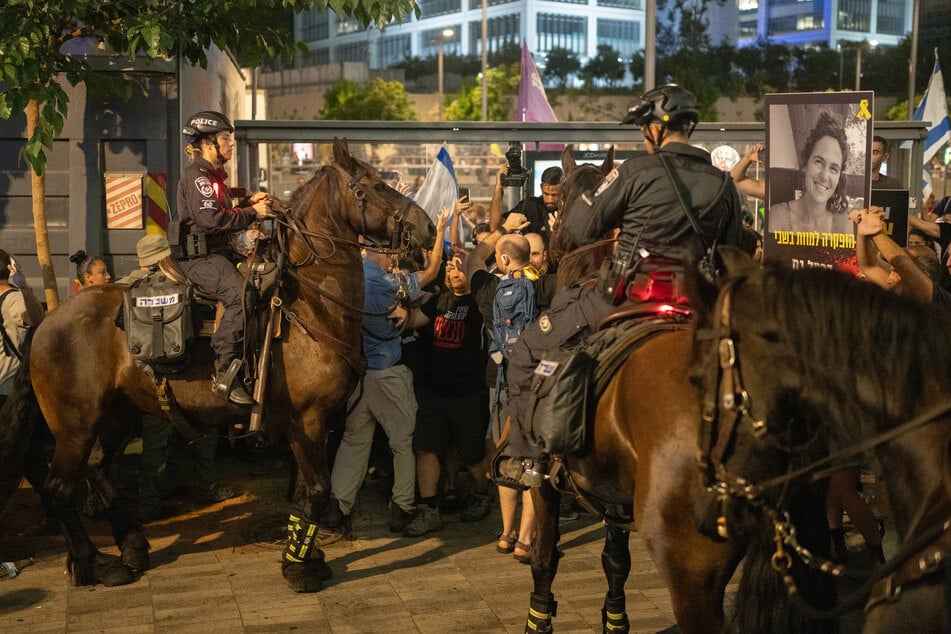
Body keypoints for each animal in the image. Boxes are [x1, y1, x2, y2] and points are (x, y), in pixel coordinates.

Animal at [0, 137, 436, 588]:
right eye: (374, 185)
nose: (428, 228)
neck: (313, 305)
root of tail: (47, 319)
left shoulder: (317, 424)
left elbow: (307, 493)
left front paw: (307, 556)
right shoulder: (307, 420)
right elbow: (316, 490)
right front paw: (298, 567)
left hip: (119, 415)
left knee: (97, 470)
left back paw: (130, 549)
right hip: (75, 425)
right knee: (59, 488)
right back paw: (93, 562)